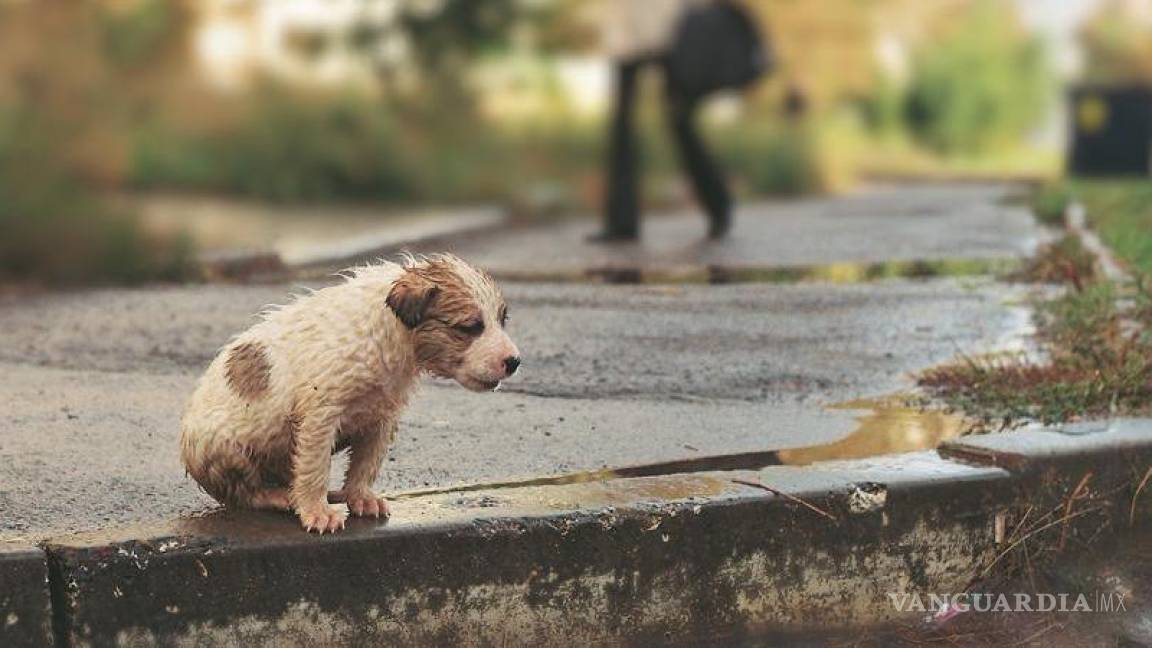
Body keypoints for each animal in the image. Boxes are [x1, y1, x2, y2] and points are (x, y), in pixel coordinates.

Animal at [179, 254, 523, 532]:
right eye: (469, 327)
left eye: (502, 321)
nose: (514, 362)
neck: (389, 333)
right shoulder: (320, 414)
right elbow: (314, 468)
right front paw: (316, 511)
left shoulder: (382, 417)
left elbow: (365, 464)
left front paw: (360, 497)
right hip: (226, 447)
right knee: (243, 491)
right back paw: (278, 495)